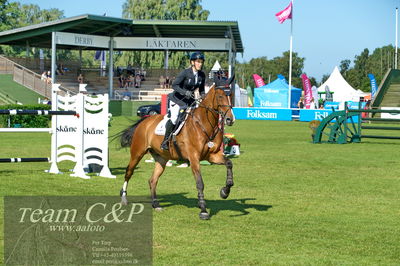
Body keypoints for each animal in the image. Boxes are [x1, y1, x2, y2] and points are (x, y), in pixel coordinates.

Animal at [120, 82, 236, 219]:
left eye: (231, 96)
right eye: (219, 97)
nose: (230, 119)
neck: (203, 124)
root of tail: (145, 121)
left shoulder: (212, 156)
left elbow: (229, 163)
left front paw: (225, 191)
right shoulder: (194, 158)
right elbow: (200, 183)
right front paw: (203, 209)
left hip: (161, 159)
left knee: (152, 180)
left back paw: (156, 204)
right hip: (137, 153)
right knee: (129, 172)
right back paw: (124, 198)